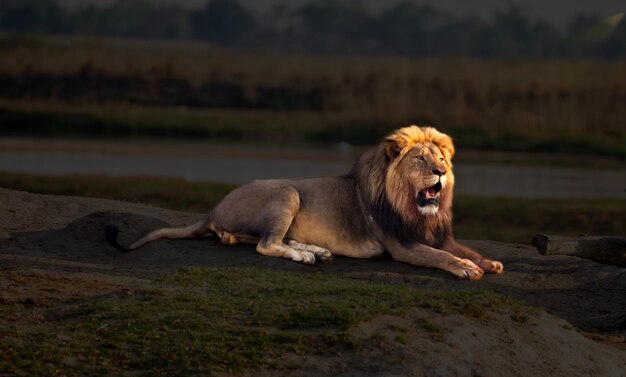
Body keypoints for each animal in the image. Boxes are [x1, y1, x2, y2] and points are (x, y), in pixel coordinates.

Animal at [106, 125, 502, 278]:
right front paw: (467, 268)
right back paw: (305, 255)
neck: (414, 208)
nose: (440, 171)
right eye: (420, 159)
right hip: (288, 192)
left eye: (441, 157)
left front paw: (488, 262)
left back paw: (315, 250)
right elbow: (439, 256)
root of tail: (213, 209)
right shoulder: (401, 244)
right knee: (265, 244)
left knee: (258, 239)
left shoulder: (436, 233)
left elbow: (460, 248)